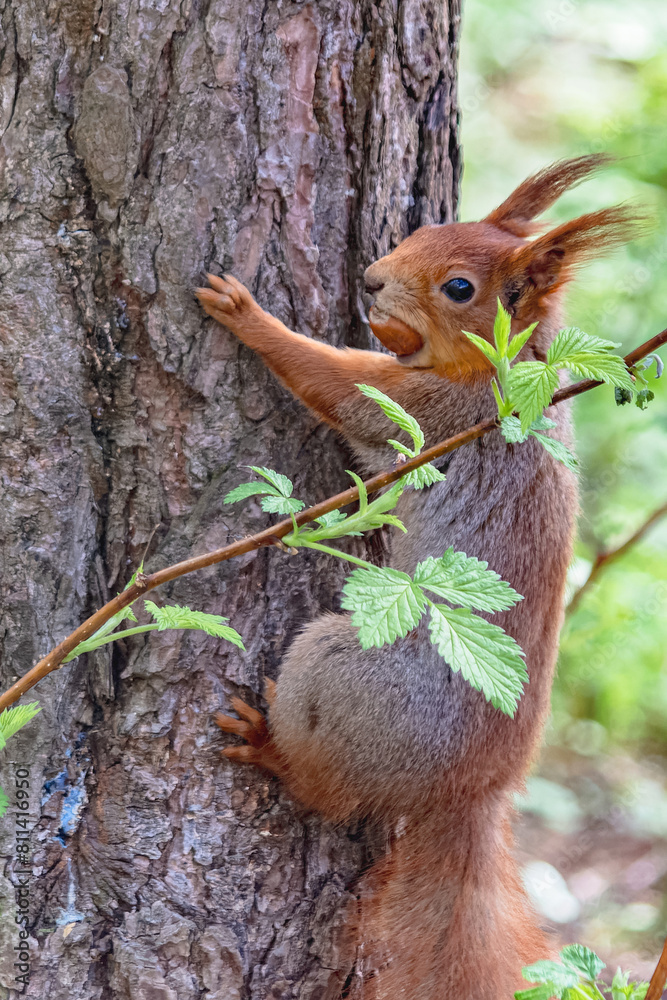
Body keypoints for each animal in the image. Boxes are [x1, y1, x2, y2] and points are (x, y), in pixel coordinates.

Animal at [196, 155, 639, 1000]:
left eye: (459, 287)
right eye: (425, 230)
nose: (369, 280)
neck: (513, 368)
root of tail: (468, 791)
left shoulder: (425, 414)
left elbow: (336, 383)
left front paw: (245, 313)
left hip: (337, 673)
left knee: (327, 793)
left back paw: (269, 747)